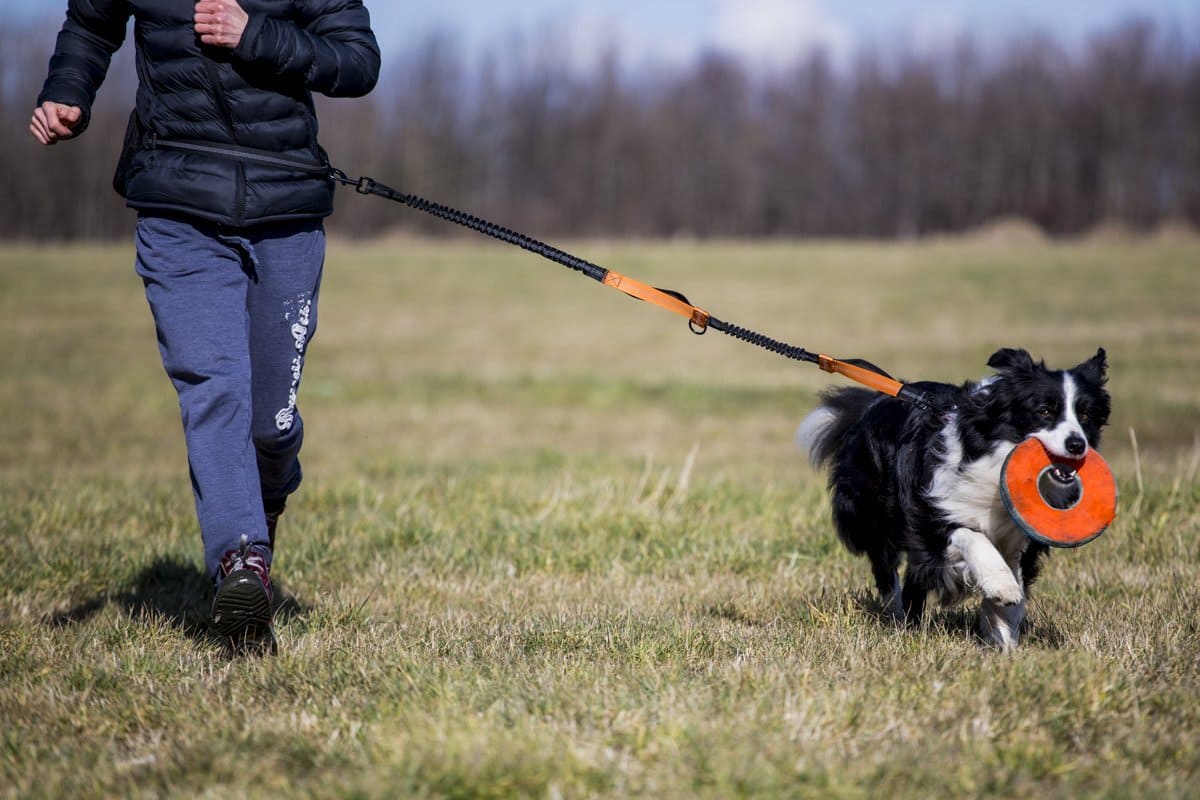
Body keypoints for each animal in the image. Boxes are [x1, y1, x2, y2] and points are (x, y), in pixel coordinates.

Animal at [801, 347, 1108, 647]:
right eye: (1044, 411)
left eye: (1086, 417)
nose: (1077, 445)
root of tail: (875, 402)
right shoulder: (929, 512)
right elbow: (972, 537)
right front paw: (1001, 585)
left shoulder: (1024, 534)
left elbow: (1013, 580)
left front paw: (1004, 641)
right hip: (873, 511)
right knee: (885, 564)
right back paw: (898, 615)